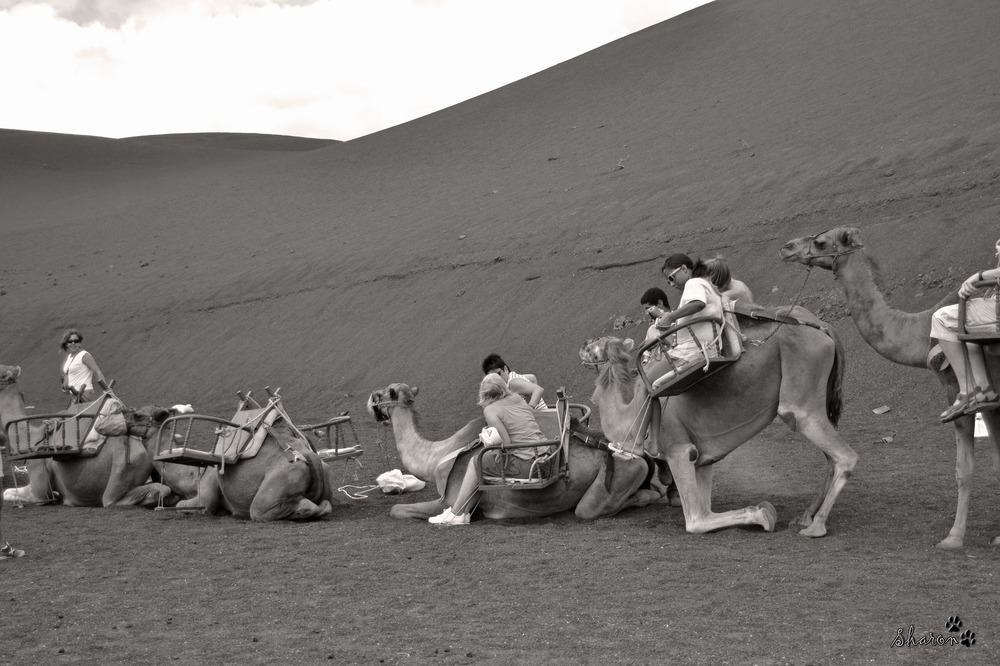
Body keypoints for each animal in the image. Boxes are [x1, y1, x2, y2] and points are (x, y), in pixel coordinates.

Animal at [584, 304, 856, 536]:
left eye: (593, 347)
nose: (583, 344)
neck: (629, 415)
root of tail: (822, 328)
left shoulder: (680, 451)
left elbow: (696, 520)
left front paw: (763, 514)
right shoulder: (702, 459)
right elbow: (707, 511)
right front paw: (762, 512)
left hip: (802, 399)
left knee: (842, 455)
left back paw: (816, 526)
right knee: (830, 458)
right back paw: (805, 516)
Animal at [780, 226, 1000, 548]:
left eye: (819, 242)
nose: (786, 247)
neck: (921, 332)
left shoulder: (957, 389)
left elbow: (964, 469)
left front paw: (954, 536)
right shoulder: (994, 400)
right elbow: (997, 462)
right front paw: (997, 536)